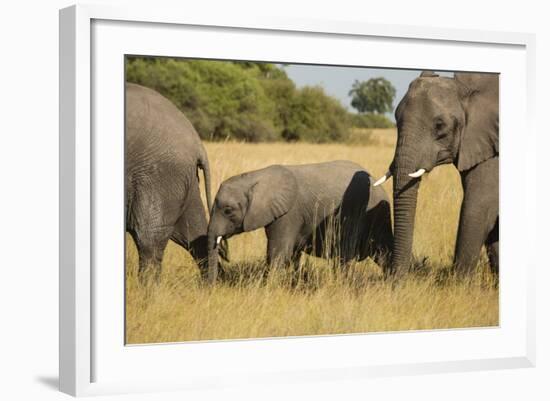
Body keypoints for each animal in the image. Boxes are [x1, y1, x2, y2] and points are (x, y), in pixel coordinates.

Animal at [126, 82, 218, 280]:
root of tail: (197, 143)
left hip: (159, 176)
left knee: (148, 241)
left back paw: (147, 289)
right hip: (182, 181)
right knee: (195, 233)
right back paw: (208, 286)